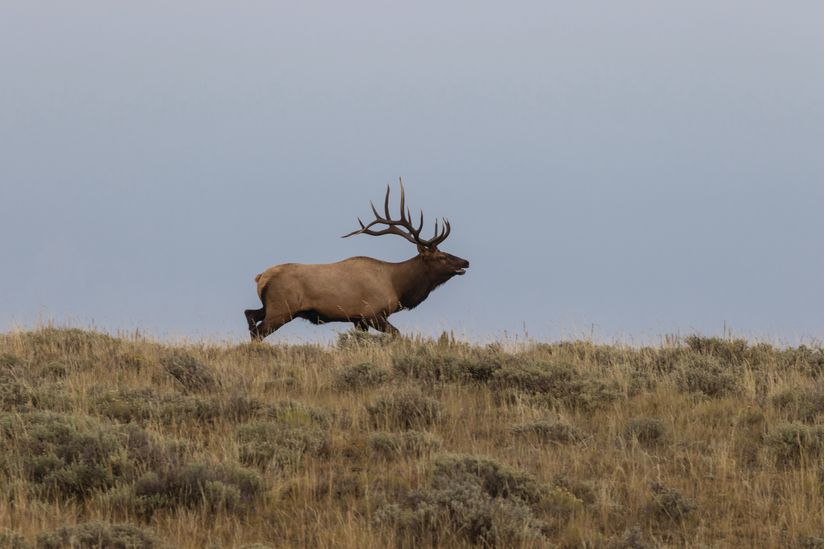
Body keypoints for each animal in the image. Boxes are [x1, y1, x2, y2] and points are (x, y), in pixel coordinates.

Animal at [244, 180, 470, 341]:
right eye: (441, 256)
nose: (465, 262)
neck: (398, 287)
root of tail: (261, 277)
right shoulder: (373, 314)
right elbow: (398, 335)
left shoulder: (357, 320)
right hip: (282, 309)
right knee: (259, 331)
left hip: (272, 307)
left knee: (250, 314)